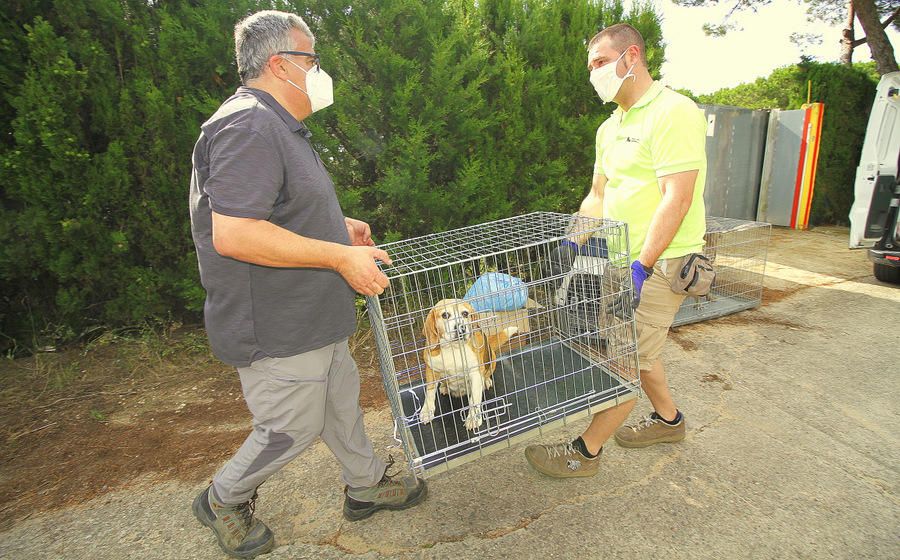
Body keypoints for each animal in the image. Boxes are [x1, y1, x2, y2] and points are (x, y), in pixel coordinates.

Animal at [418, 300, 516, 430]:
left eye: (465, 313)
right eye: (445, 315)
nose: (461, 328)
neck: (453, 349)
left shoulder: (475, 374)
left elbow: (474, 400)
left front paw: (473, 418)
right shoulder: (431, 369)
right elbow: (429, 393)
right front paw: (427, 411)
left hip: (492, 360)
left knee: (486, 374)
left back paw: (486, 381)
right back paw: (444, 386)